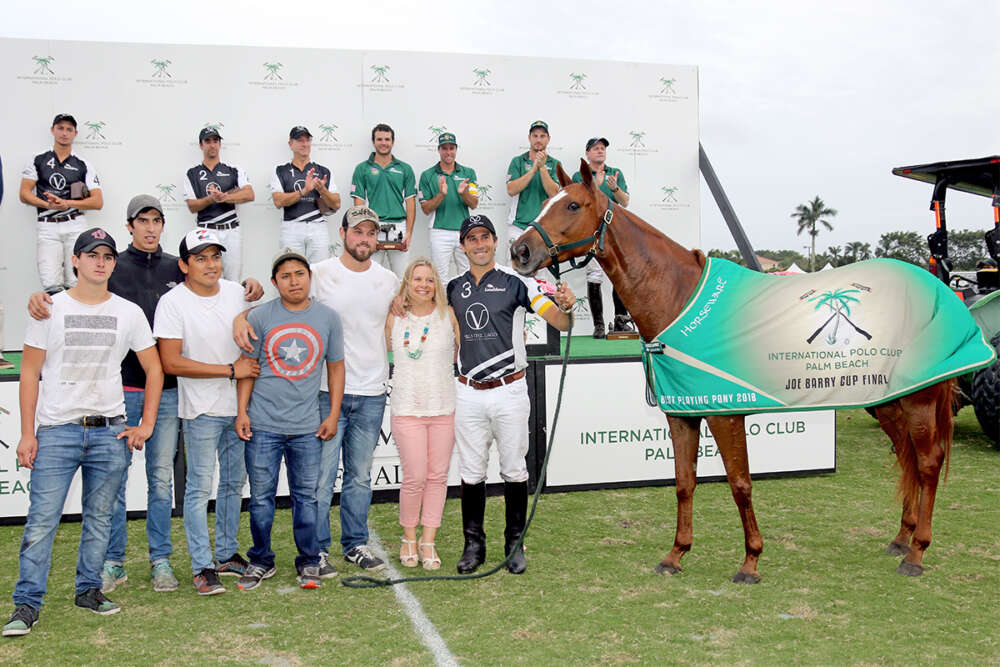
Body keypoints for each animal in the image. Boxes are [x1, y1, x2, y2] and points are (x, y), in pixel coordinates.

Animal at [512, 159, 956, 580]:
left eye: (572, 205)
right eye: (547, 201)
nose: (520, 250)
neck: (679, 296)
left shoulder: (725, 415)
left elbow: (740, 484)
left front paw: (750, 561)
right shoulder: (683, 416)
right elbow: (684, 483)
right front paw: (676, 554)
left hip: (919, 402)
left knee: (928, 462)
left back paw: (917, 552)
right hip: (888, 402)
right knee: (908, 457)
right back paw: (901, 538)